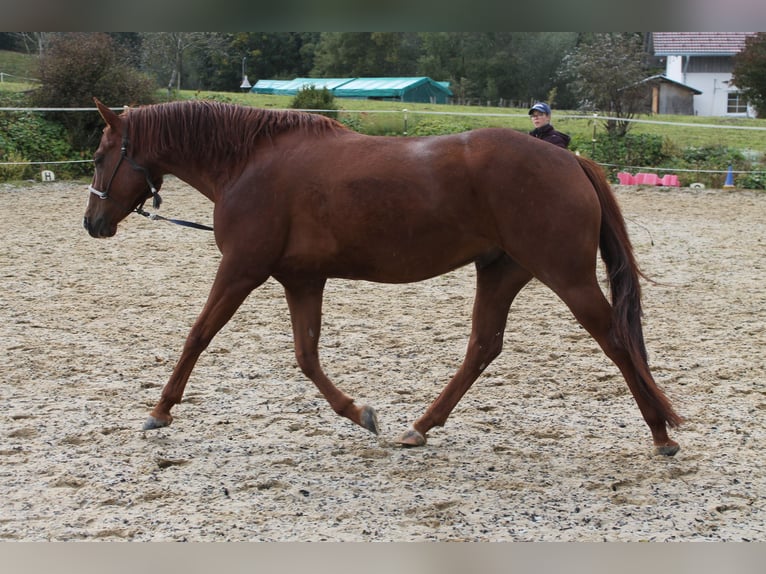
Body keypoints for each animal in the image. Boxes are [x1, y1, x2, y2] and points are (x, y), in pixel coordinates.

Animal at [84, 98, 682, 456]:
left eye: (98, 155)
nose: (92, 223)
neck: (250, 164)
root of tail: (571, 161)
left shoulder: (241, 270)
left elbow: (198, 335)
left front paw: (160, 411)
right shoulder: (301, 281)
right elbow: (306, 356)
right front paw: (359, 413)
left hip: (567, 277)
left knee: (616, 340)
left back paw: (660, 431)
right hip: (501, 273)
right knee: (483, 347)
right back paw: (420, 426)